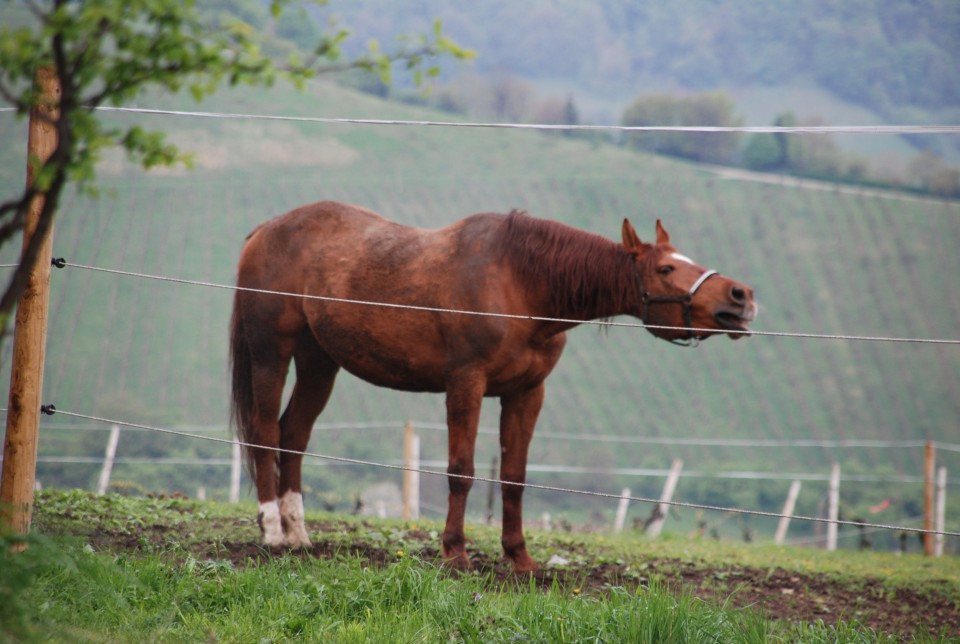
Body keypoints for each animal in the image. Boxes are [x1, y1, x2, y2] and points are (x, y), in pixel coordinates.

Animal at [229, 199, 752, 572]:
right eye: (665, 269)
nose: (740, 296)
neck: (521, 283)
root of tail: (265, 230)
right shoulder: (466, 383)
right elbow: (461, 471)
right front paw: (455, 552)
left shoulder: (527, 393)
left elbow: (514, 477)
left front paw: (520, 558)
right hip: (272, 354)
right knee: (266, 433)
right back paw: (272, 530)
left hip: (319, 362)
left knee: (294, 436)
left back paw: (298, 534)